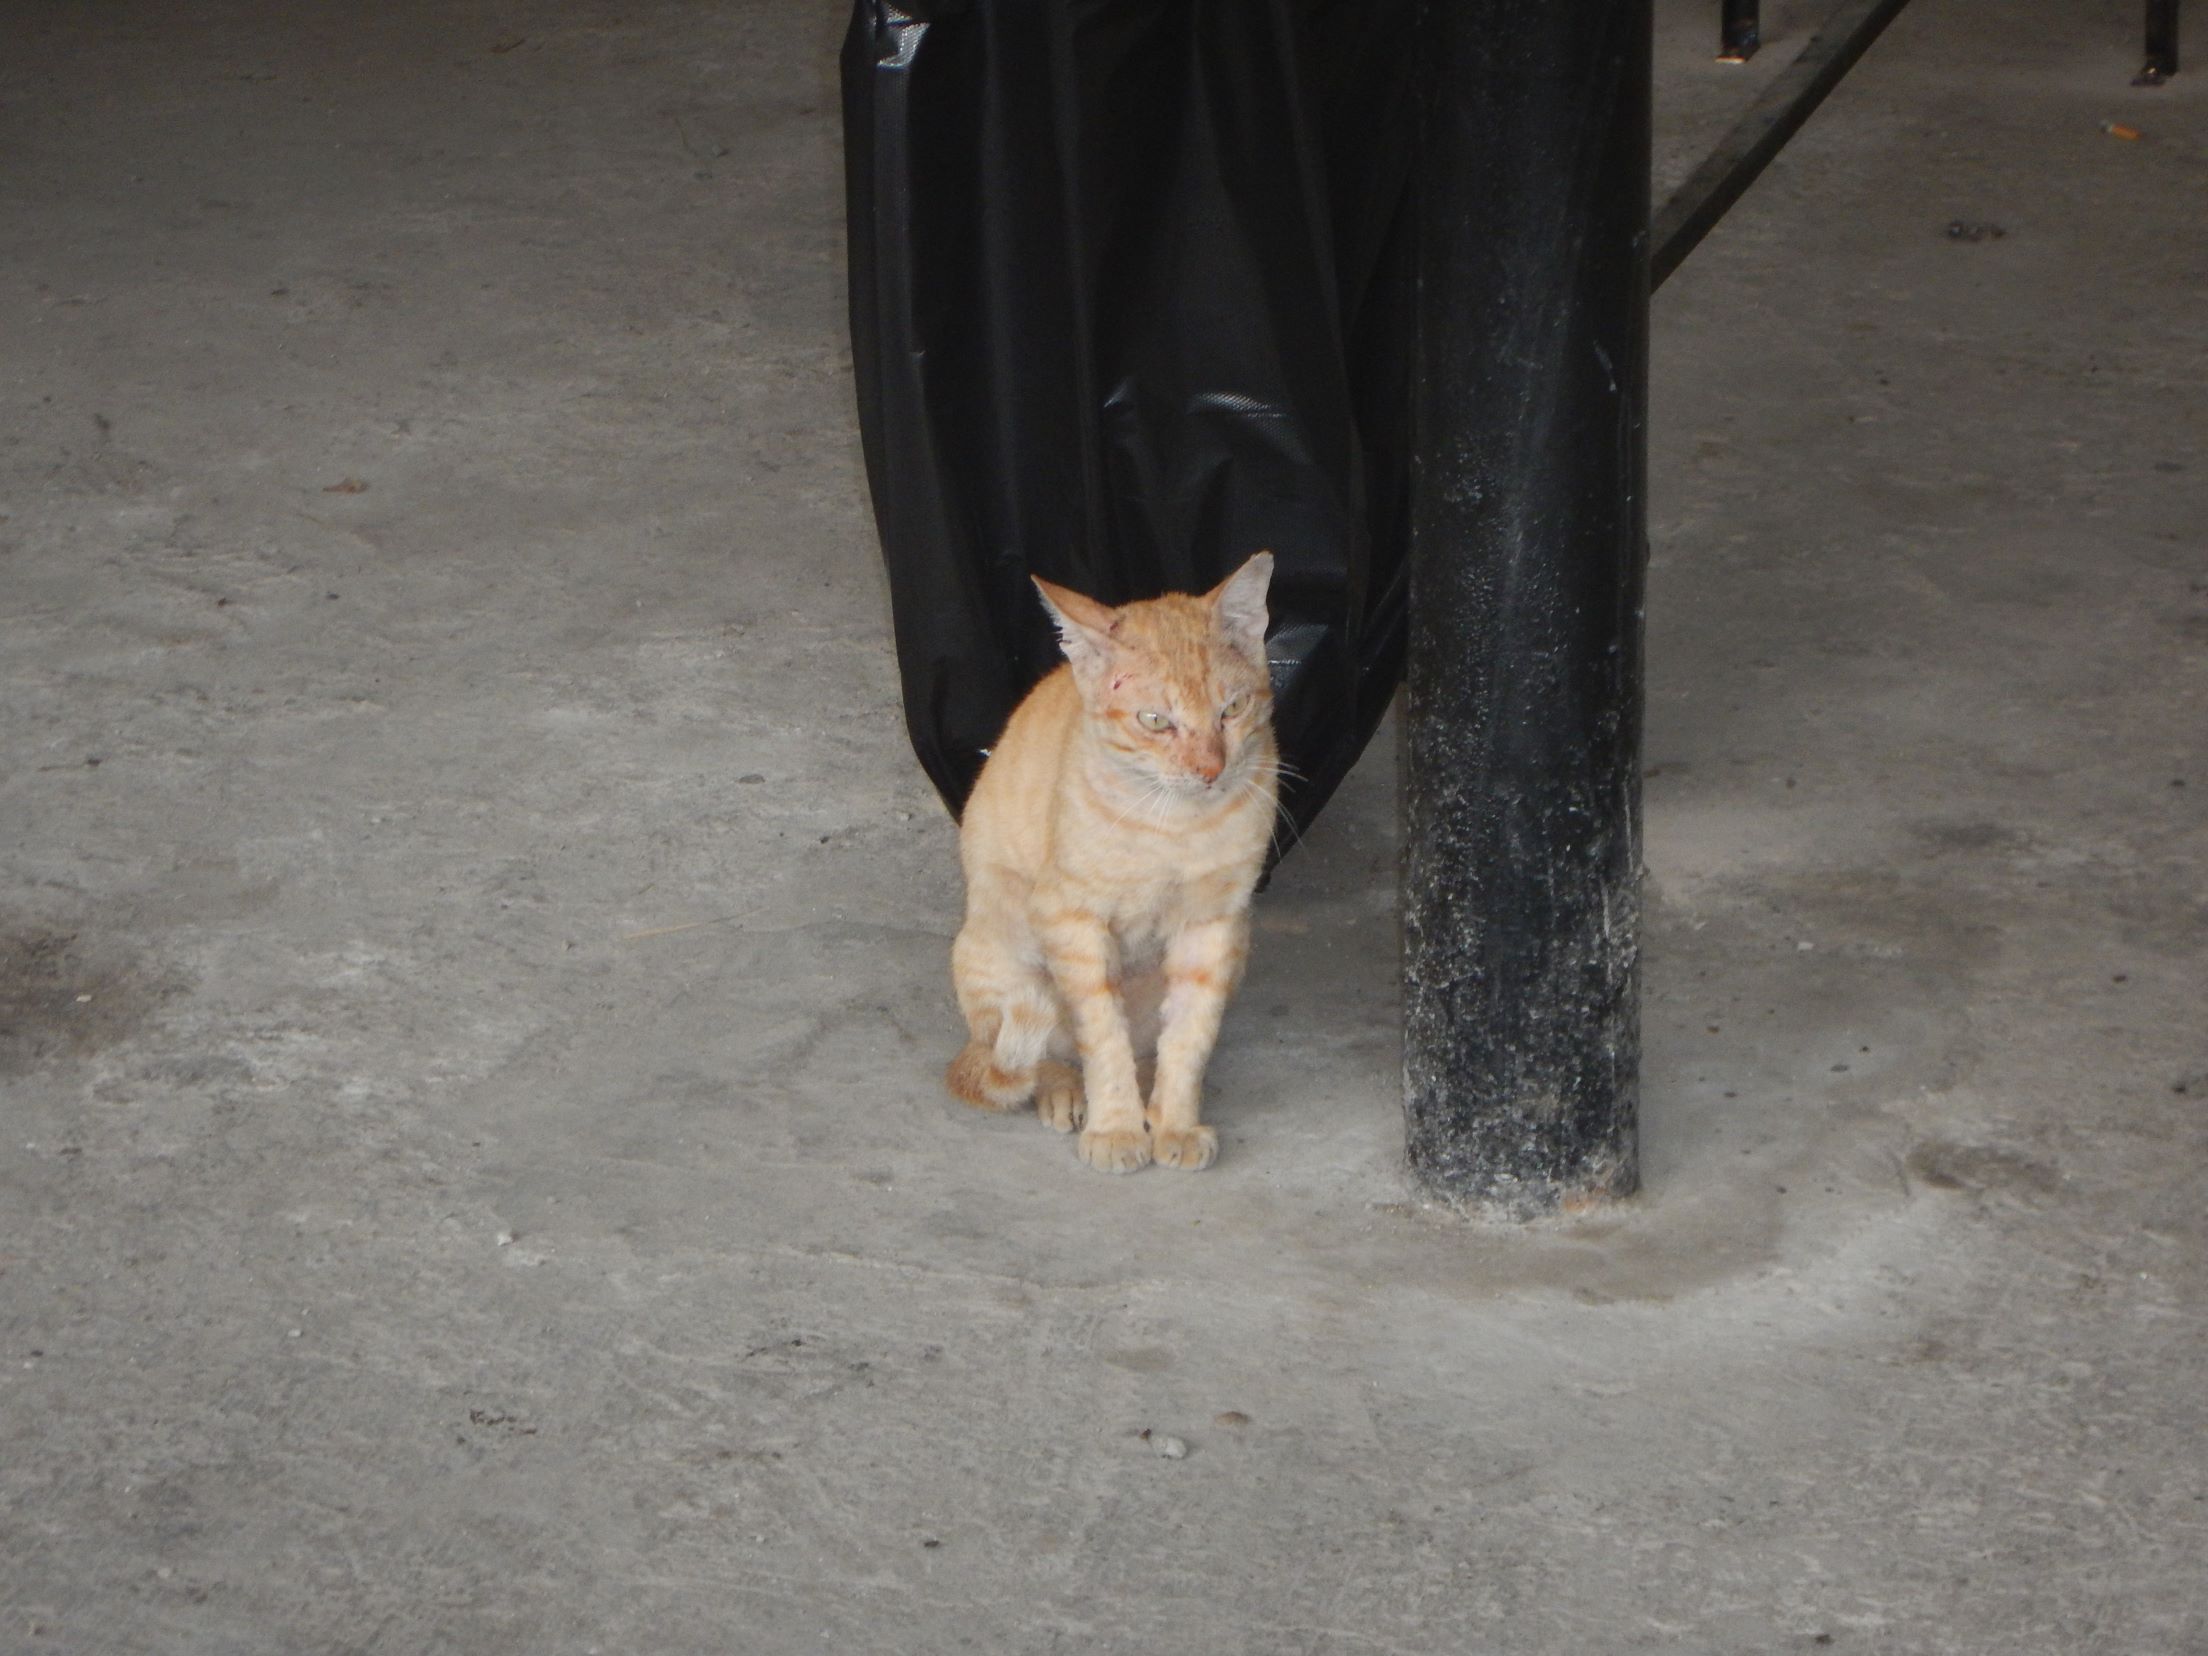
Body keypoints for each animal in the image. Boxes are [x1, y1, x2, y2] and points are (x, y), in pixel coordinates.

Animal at [945, 552, 1280, 1174]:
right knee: (1033, 1053)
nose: (1210, 770)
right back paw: (1063, 1091)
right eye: (1155, 721)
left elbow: (1188, 1035)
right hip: (1003, 955)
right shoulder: (1072, 918)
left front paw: (1173, 1122)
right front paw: (1118, 1128)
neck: (1175, 828)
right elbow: (1101, 1035)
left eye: (1233, 709)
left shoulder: (1214, 923)